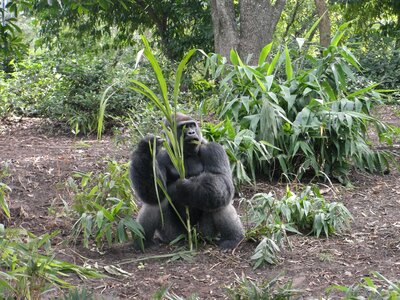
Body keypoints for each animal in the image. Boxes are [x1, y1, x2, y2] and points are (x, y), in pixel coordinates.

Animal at [130, 112, 245, 248]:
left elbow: (221, 179)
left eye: (192, 125)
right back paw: (144, 242)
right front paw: (146, 150)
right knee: (156, 202)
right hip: (174, 236)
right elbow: (154, 192)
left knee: (220, 198)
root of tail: (191, 238)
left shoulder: (213, 148)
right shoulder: (160, 157)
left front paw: (186, 188)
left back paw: (233, 238)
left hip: (205, 234)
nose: (191, 132)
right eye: (183, 127)